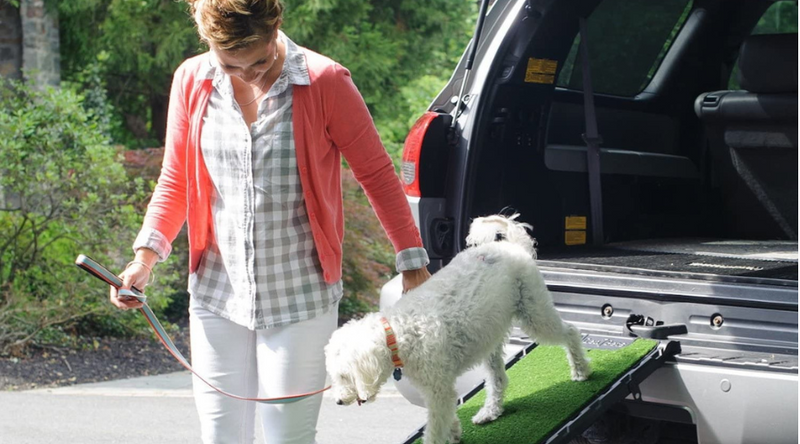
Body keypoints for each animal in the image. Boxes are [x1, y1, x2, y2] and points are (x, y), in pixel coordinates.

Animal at [322, 213, 592, 442]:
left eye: (344, 375)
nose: (338, 402)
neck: (398, 334)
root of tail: (513, 246)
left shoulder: (438, 389)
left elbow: (434, 429)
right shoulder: (438, 390)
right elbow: (446, 417)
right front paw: (453, 434)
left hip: (535, 313)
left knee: (571, 332)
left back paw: (581, 370)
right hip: (490, 336)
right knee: (498, 379)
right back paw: (490, 411)